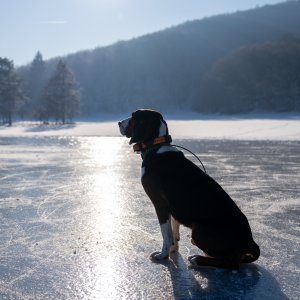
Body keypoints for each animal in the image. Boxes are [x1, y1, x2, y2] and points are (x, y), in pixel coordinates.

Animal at [118, 109, 258, 268]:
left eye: (133, 117)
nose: (119, 123)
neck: (156, 147)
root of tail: (250, 241)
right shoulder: (171, 206)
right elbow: (173, 231)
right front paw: (173, 249)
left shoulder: (160, 204)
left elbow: (166, 234)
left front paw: (163, 255)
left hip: (198, 230)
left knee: (231, 262)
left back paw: (198, 259)